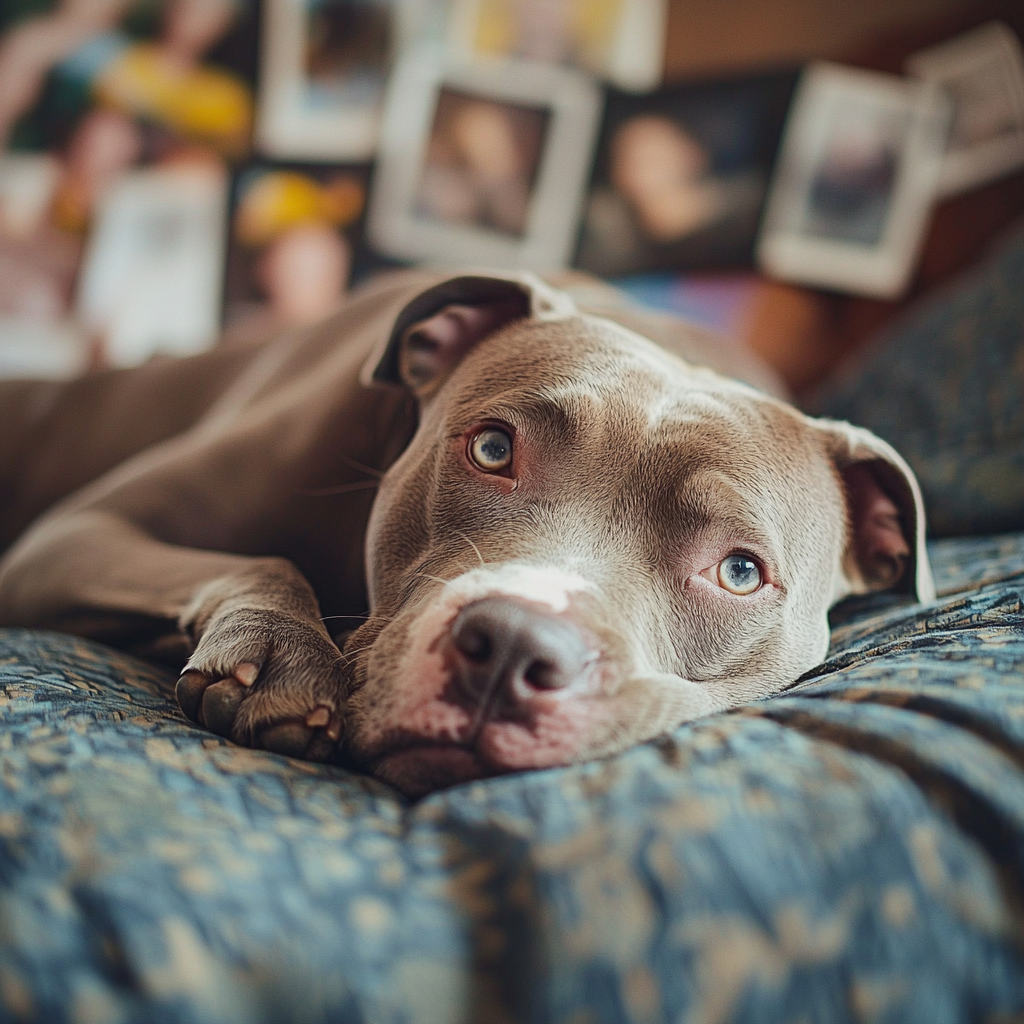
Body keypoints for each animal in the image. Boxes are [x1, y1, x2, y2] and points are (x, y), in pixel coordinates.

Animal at [0, 268, 933, 794]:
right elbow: (263, 557)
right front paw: (280, 653)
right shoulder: (73, 535)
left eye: (739, 572)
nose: (515, 646)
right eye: (492, 448)